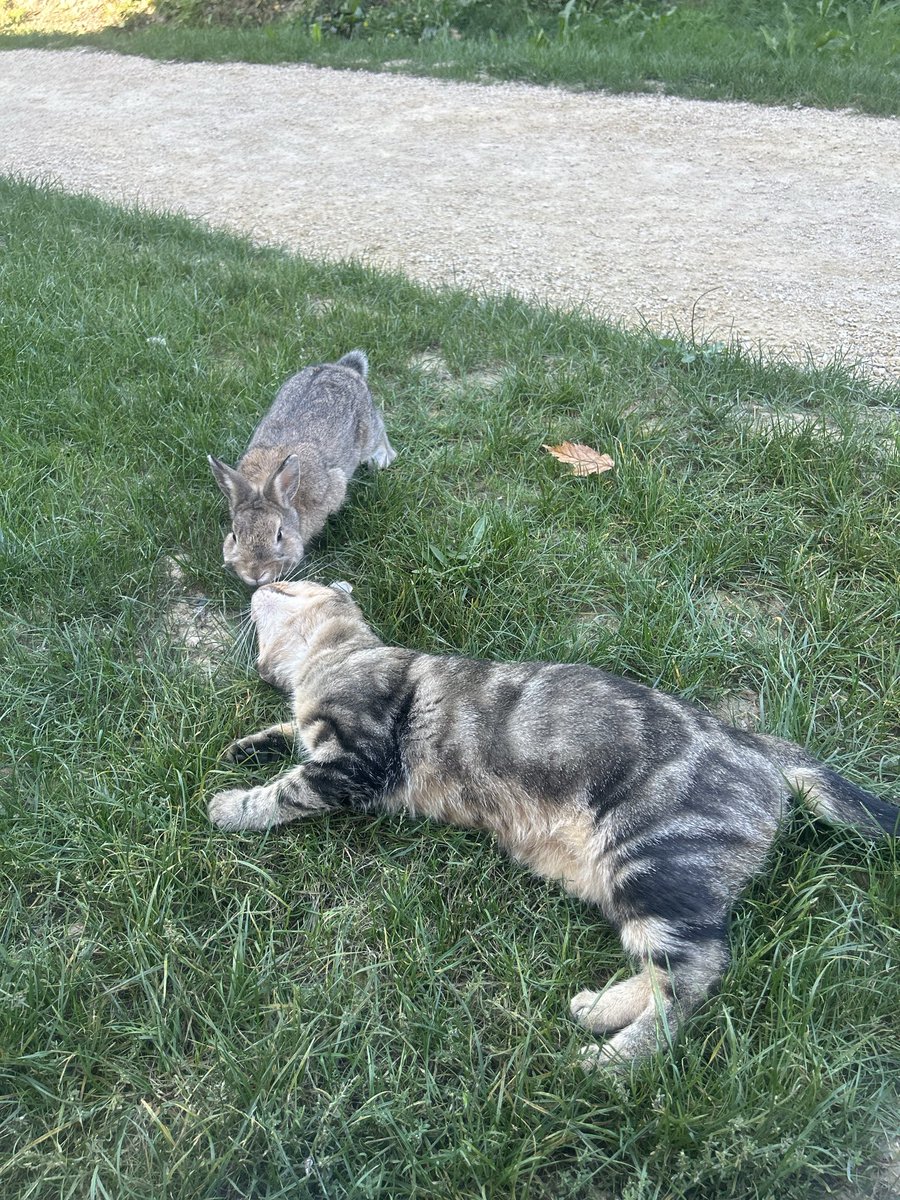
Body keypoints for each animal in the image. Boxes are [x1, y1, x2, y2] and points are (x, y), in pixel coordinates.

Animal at [208, 351, 396, 587]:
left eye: (279, 535)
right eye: (234, 536)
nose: (255, 574)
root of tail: (346, 369)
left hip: (369, 431)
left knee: (380, 428)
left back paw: (383, 458)